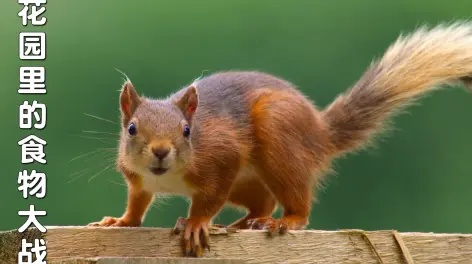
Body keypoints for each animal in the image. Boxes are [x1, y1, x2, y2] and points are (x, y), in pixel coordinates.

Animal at [89, 22, 472, 256]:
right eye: (131, 128)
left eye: (187, 130)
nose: (160, 152)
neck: (166, 177)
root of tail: (319, 133)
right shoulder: (138, 179)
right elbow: (138, 201)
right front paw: (121, 221)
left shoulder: (222, 157)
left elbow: (209, 198)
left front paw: (196, 223)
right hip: (248, 182)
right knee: (262, 203)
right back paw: (244, 223)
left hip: (278, 139)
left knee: (293, 203)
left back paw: (283, 221)